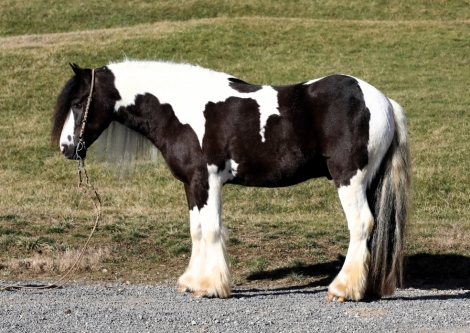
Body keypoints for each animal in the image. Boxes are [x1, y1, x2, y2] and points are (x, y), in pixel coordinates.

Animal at [51, 59, 410, 300]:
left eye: (79, 102)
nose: (66, 147)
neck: (181, 108)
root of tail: (383, 101)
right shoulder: (192, 184)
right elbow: (196, 230)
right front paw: (192, 281)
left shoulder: (207, 181)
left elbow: (211, 230)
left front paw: (211, 286)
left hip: (350, 179)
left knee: (361, 224)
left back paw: (343, 288)